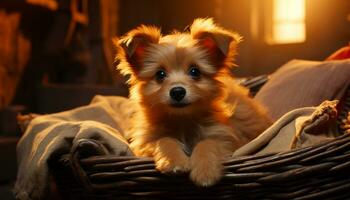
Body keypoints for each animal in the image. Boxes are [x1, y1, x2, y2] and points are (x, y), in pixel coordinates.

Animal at [113, 18, 272, 187]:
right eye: (160, 74)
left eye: (195, 71)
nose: (177, 91)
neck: (182, 120)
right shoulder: (143, 145)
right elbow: (164, 139)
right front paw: (173, 160)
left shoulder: (227, 138)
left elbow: (208, 142)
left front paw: (205, 170)